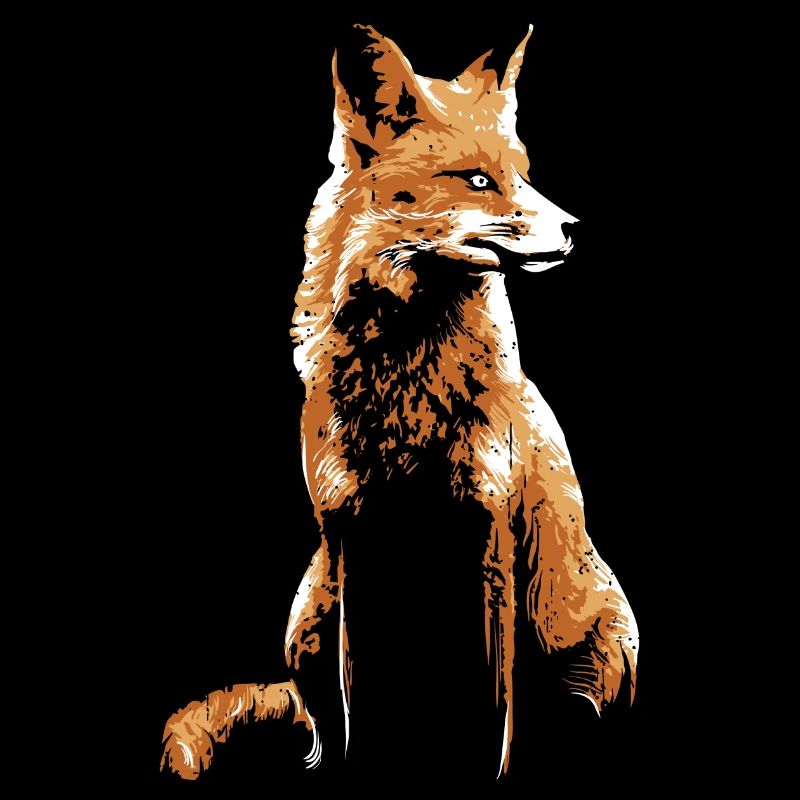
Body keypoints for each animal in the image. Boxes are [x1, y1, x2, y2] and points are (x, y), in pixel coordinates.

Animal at [161, 23, 638, 783]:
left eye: (525, 172)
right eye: (478, 179)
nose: (573, 228)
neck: (408, 383)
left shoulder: (487, 524)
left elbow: (494, 707)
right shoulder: (351, 529)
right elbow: (360, 701)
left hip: (598, 641)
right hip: (311, 612)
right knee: (318, 721)